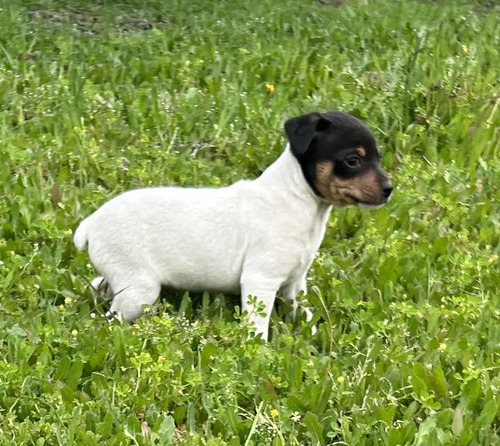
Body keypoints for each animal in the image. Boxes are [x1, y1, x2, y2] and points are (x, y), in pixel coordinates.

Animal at [73, 112, 390, 342]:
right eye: (353, 160)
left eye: (378, 157)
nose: (389, 189)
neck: (298, 198)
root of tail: (91, 223)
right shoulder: (260, 280)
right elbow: (258, 324)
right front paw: (257, 351)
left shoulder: (294, 283)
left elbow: (302, 311)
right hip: (139, 289)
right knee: (110, 319)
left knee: (101, 287)